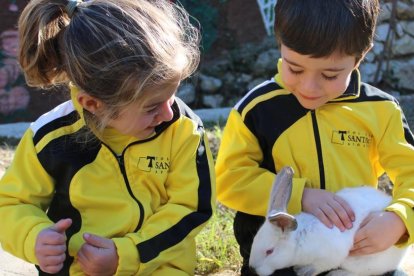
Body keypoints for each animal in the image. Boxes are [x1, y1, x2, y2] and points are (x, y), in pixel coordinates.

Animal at [249, 166, 408, 276]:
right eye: (254, 240)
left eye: (269, 251)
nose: (252, 269)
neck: (299, 241)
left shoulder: (330, 257)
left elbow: (319, 267)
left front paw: (303, 271)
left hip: (362, 262)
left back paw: (338, 273)